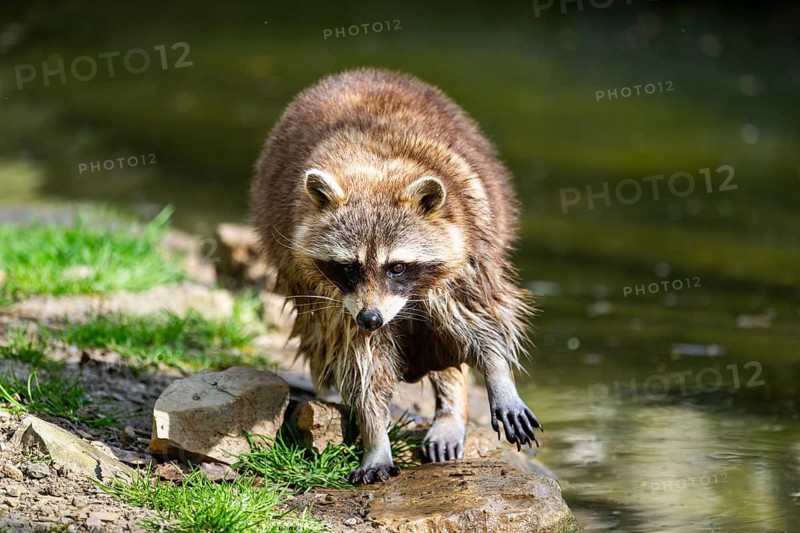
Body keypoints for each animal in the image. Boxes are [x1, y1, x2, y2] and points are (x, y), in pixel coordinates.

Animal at [251, 68, 541, 485]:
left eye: (397, 267)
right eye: (348, 267)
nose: (372, 318)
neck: (375, 165)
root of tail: (367, 72)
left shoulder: (471, 248)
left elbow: (482, 317)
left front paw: (498, 370)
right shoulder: (335, 298)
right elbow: (360, 362)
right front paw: (374, 434)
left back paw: (451, 403)